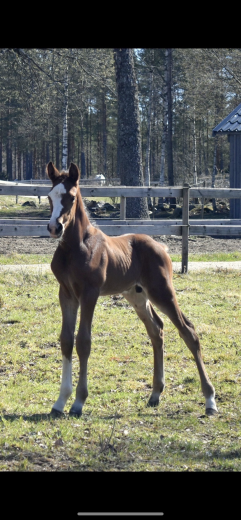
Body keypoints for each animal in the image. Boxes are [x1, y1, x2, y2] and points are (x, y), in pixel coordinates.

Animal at [46, 162, 217, 418]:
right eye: (50, 196)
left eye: (71, 197)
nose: (54, 227)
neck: (75, 247)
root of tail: (161, 246)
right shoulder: (66, 294)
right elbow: (66, 340)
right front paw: (59, 402)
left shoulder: (89, 293)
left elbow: (83, 342)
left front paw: (78, 402)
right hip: (137, 295)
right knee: (157, 330)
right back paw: (155, 394)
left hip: (162, 292)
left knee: (189, 332)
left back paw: (209, 400)